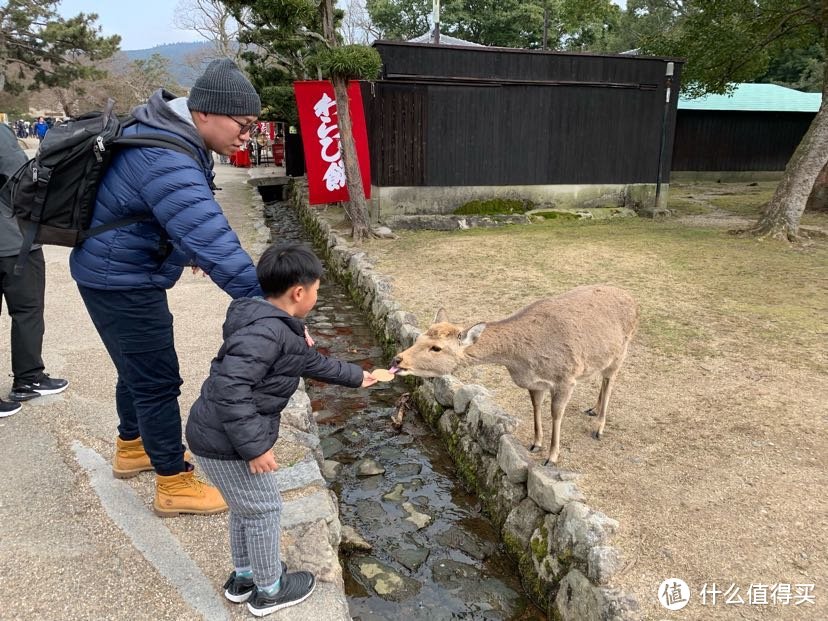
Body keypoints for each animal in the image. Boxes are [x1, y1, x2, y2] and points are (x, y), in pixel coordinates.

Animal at [392, 284, 636, 462]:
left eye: (436, 348)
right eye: (420, 336)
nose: (397, 359)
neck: (522, 360)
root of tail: (633, 299)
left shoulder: (566, 378)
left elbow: (556, 414)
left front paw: (552, 457)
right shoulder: (535, 383)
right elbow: (536, 408)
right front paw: (536, 444)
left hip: (622, 351)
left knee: (610, 379)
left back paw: (599, 428)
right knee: (603, 378)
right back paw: (592, 409)